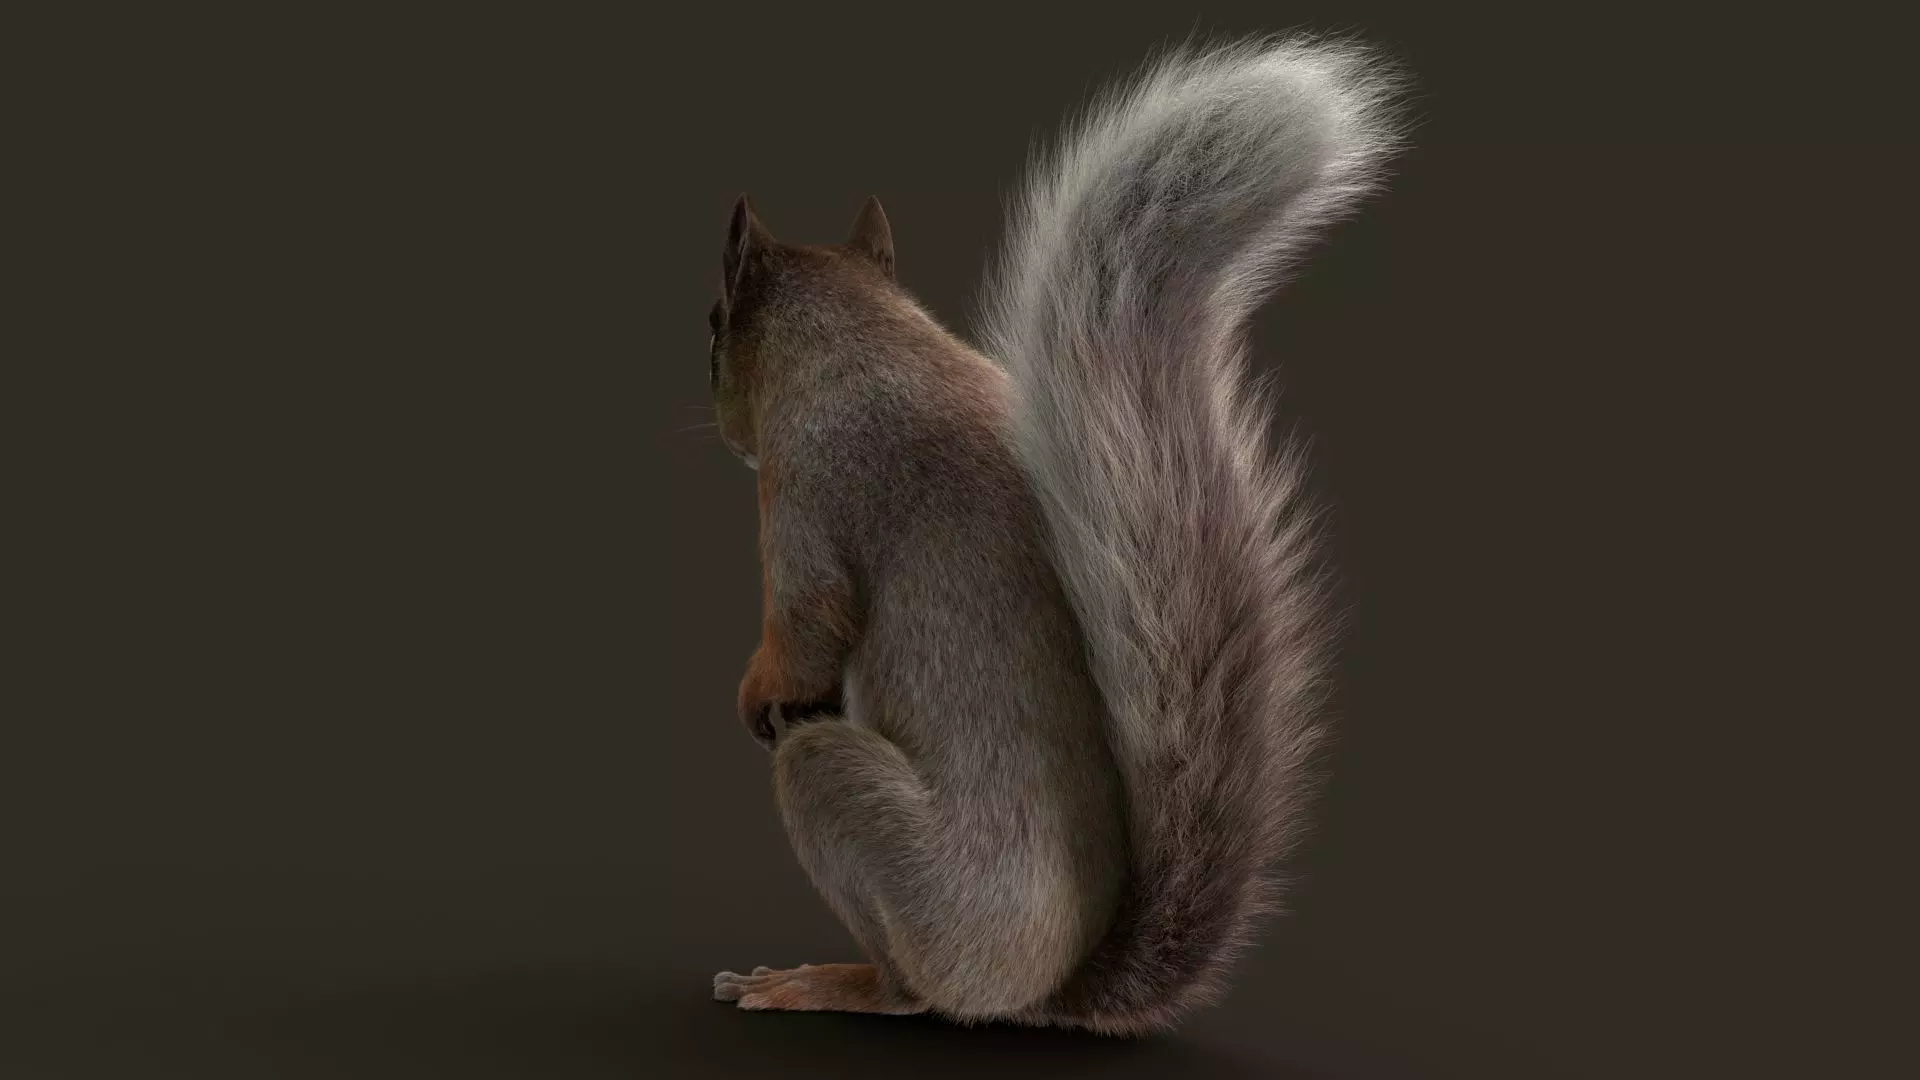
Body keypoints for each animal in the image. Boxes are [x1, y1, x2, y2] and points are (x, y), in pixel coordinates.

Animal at [707, 37, 1405, 1035]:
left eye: (712, 326)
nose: (724, 427)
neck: (867, 339)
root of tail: (1045, 989)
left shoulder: (802, 485)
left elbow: (807, 623)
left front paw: (756, 690)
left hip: (859, 821)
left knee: (910, 985)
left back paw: (832, 983)